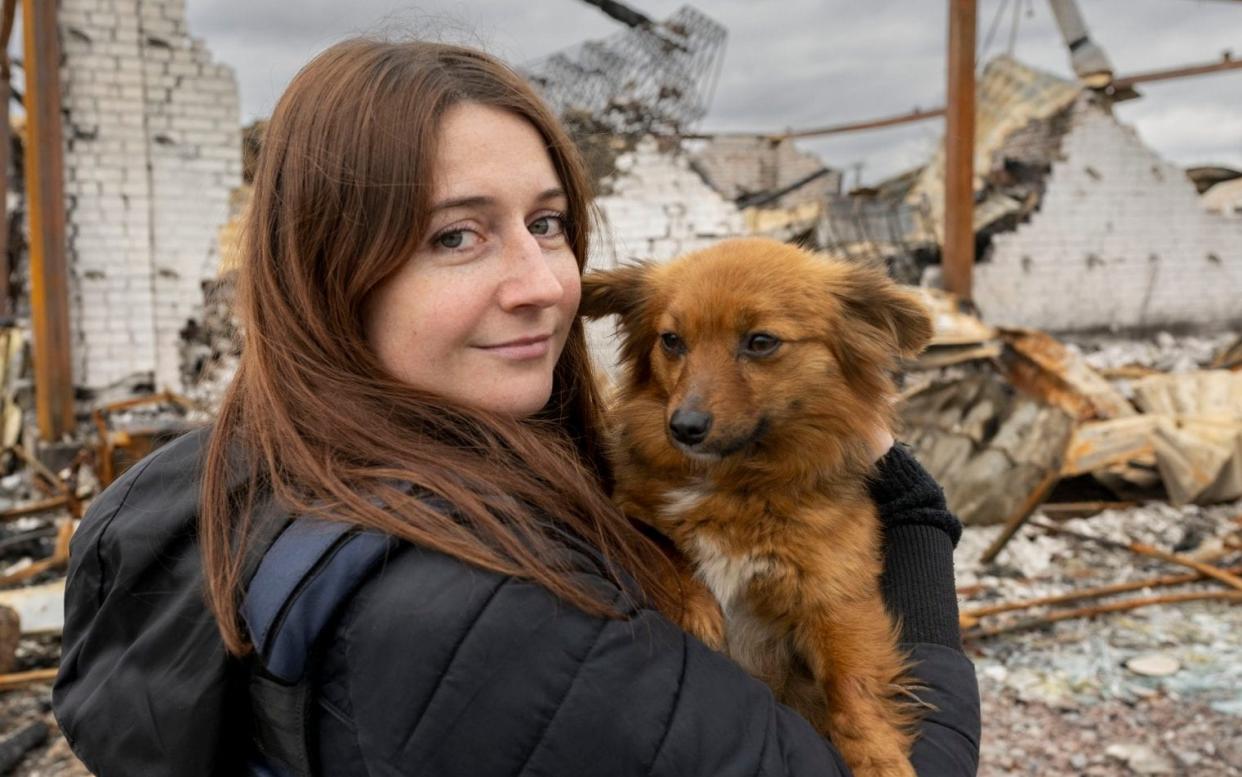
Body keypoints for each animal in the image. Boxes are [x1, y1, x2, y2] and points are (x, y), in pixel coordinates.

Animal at [581, 235, 933, 774]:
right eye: (671, 341)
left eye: (761, 342)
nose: (683, 427)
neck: (735, 484)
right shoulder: (623, 508)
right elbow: (658, 542)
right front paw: (698, 611)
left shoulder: (838, 597)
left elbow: (856, 691)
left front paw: (879, 758)